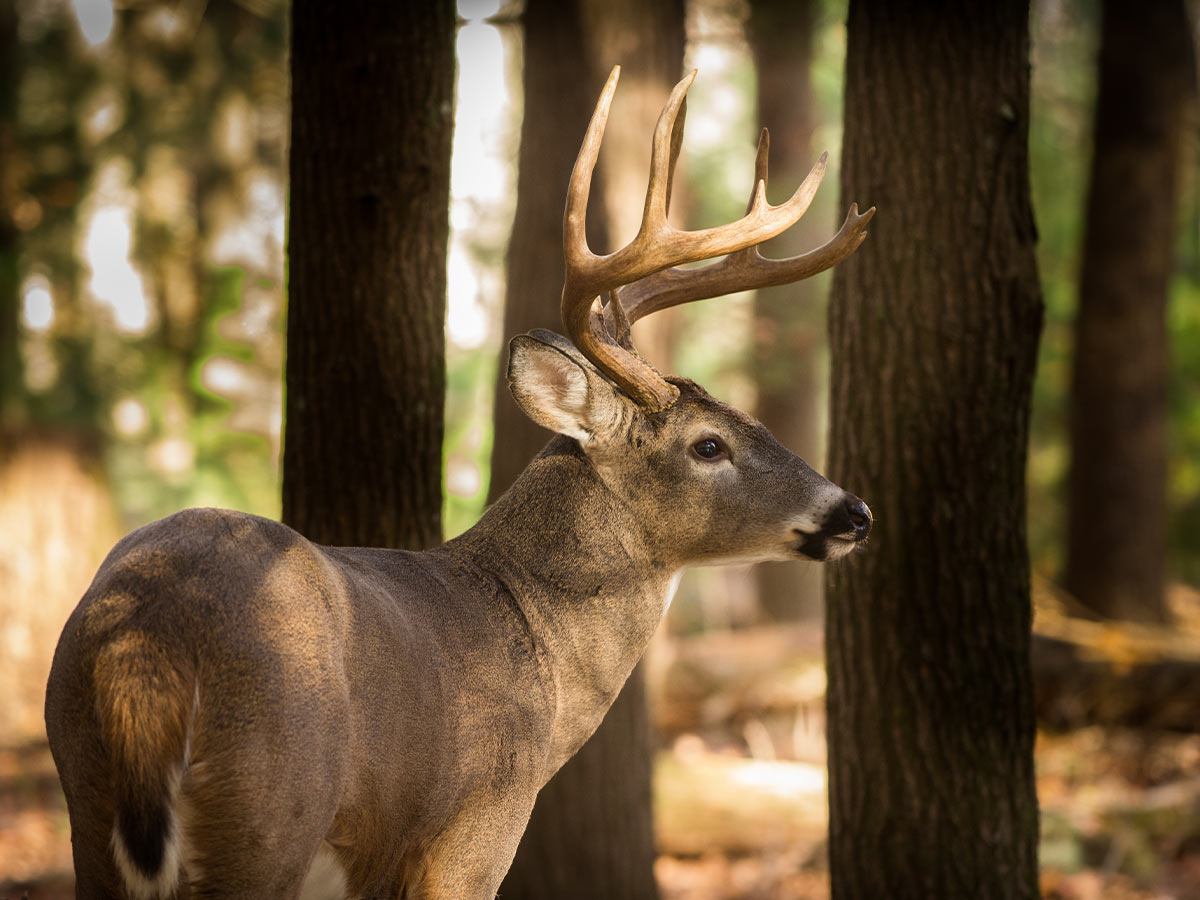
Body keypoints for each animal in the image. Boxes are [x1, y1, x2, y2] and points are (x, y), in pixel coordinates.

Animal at [45, 66, 874, 900]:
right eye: (709, 445)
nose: (855, 511)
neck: (535, 640)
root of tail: (146, 634)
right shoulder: (478, 827)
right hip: (268, 803)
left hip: (86, 793)